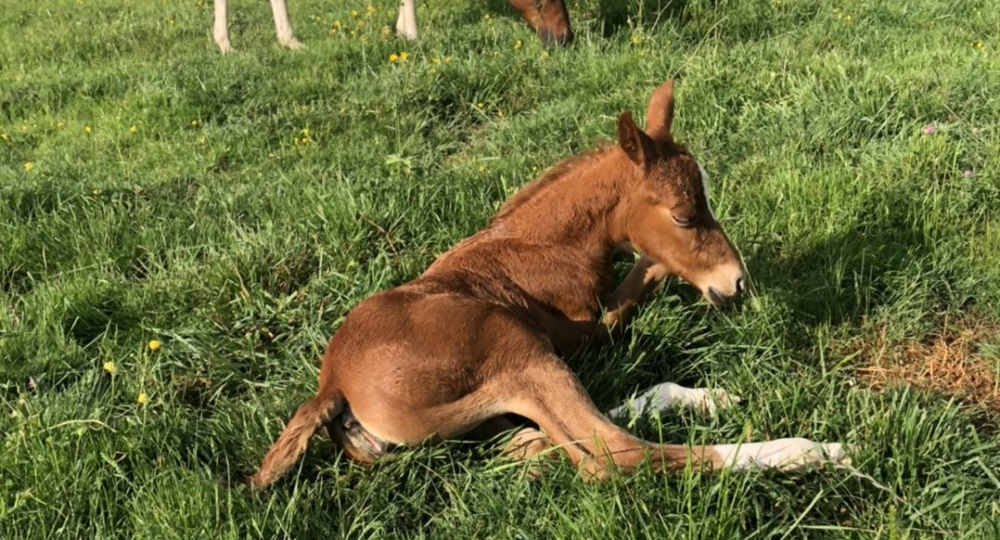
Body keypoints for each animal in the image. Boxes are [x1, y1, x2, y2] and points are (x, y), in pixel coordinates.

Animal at [246, 80, 848, 490]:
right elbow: (641, 278)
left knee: (552, 436)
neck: (545, 243)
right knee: (614, 452)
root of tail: (332, 387)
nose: (737, 284)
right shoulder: (581, 330)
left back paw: (701, 400)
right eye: (683, 215)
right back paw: (807, 451)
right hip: (520, 353)